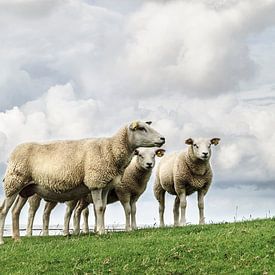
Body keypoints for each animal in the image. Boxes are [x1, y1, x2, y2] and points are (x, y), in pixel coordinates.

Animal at [0, 121, 165, 246]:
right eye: (142, 128)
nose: (163, 138)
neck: (110, 149)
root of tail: (12, 153)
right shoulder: (96, 182)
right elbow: (99, 208)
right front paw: (102, 232)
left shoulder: (105, 185)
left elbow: (103, 208)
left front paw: (101, 229)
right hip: (13, 184)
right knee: (4, 210)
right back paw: (3, 240)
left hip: (25, 189)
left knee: (15, 211)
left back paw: (17, 238)